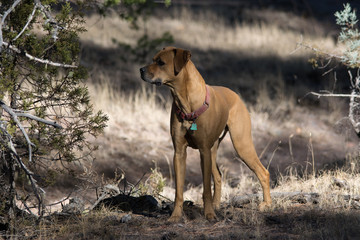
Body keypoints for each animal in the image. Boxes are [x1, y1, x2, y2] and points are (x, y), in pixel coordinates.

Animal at [139, 46, 272, 221]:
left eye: (161, 62)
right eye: (153, 59)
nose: (140, 70)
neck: (186, 102)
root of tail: (235, 95)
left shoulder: (203, 151)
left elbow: (206, 189)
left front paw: (209, 215)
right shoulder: (179, 153)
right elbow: (179, 191)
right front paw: (176, 215)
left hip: (241, 145)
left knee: (263, 172)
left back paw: (267, 204)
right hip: (213, 150)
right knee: (219, 176)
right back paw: (216, 205)